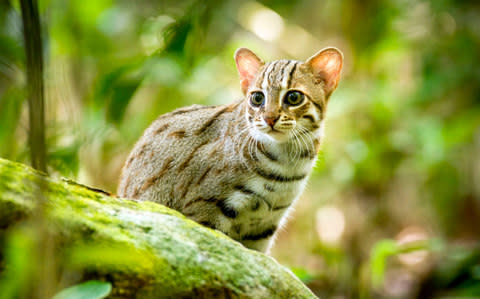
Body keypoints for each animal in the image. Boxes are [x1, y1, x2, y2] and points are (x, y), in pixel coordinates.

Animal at [118, 47, 344, 253]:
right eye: (257, 98)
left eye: (294, 97)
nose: (269, 118)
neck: (286, 162)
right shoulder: (204, 211)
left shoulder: (263, 228)